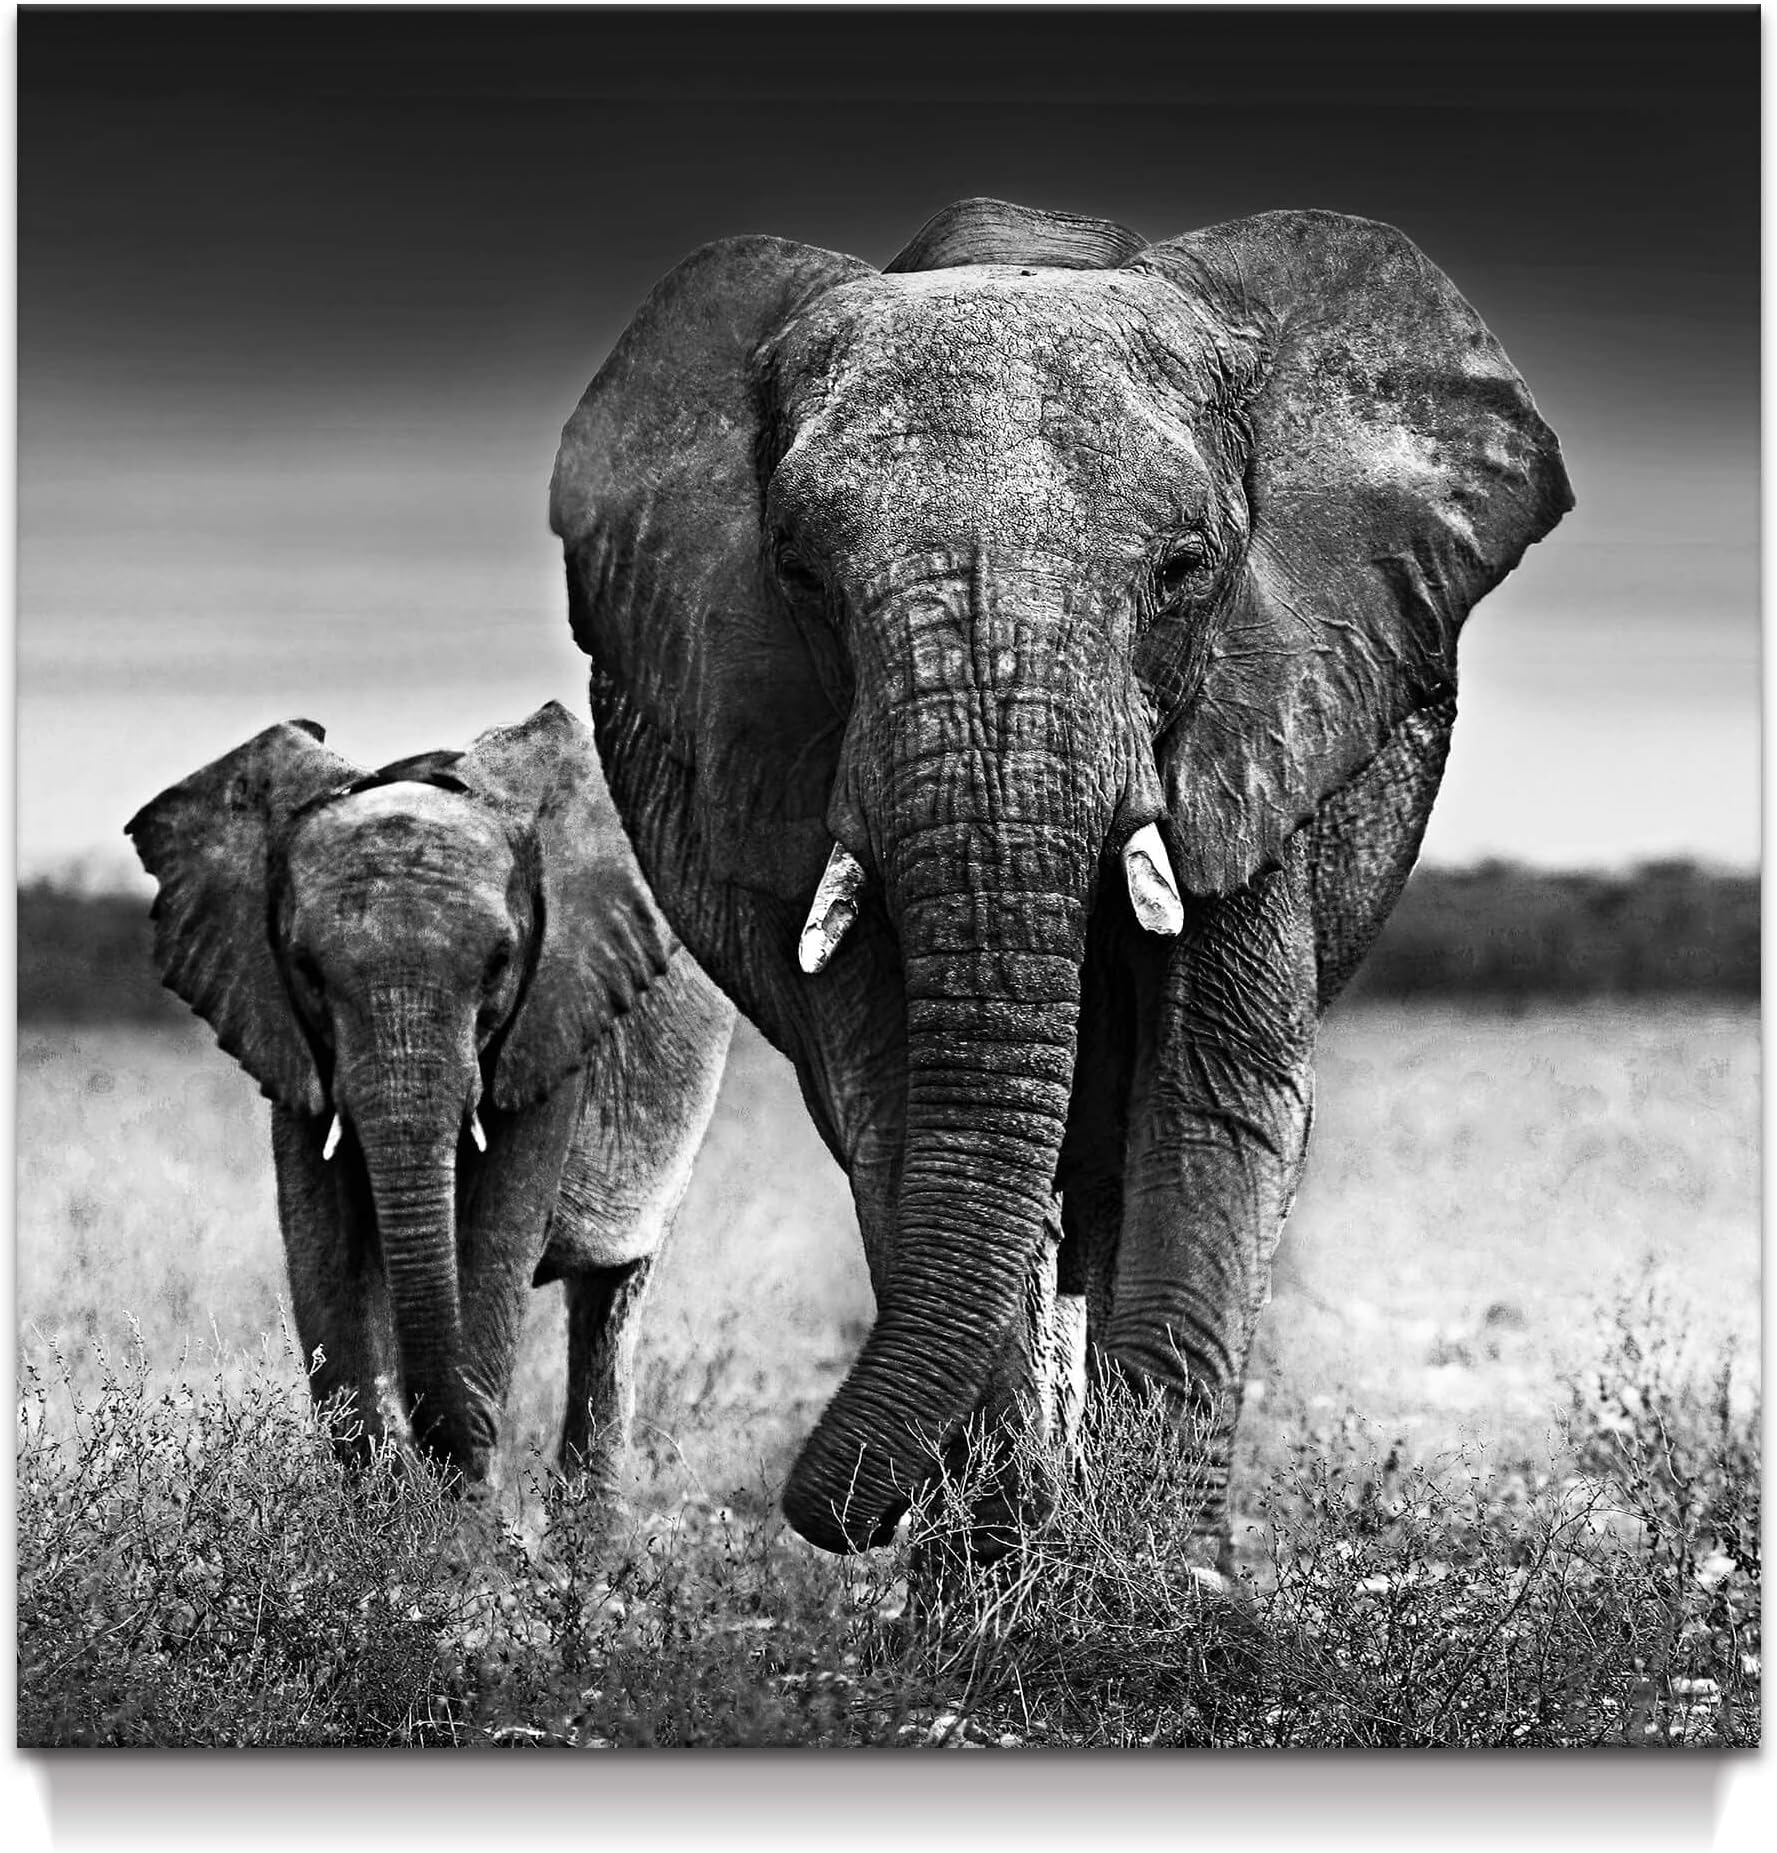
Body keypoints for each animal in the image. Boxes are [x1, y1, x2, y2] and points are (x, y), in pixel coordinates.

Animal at [126, 701, 735, 1500]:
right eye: (306, 970)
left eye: (502, 962)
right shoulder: (290, 1041)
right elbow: (326, 1255)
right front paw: (391, 1514)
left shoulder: (554, 1019)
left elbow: (491, 1247)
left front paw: (456, 1523)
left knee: (611, 1299)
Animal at [548, 196, 1572, 1564]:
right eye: (801, 575)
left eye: (1183, 570)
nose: (829, 1515)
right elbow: (899, 1112)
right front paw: (1001, 1579)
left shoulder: (1263, 714)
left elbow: (1213, 1100)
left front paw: (1145, 1586)